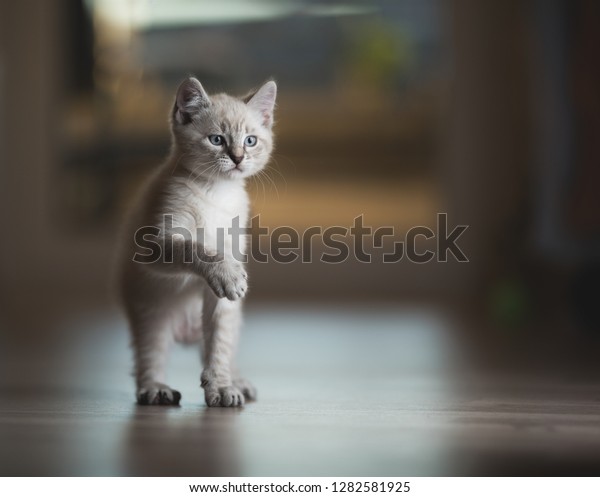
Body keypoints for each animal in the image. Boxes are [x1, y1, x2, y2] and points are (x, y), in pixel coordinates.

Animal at [116, 75, 276, 404]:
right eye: (217, 140)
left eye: (250, 141)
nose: (238, 158)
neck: (218, 192)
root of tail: (185, 332)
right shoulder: (154, 245)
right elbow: (197, 248)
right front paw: (226, 275)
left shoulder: (228, 280)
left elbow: (220, 345)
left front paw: (221, 388)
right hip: (150, 313)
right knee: (150, 354)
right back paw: (155, 389)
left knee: (221, 345)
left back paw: (236, 381)